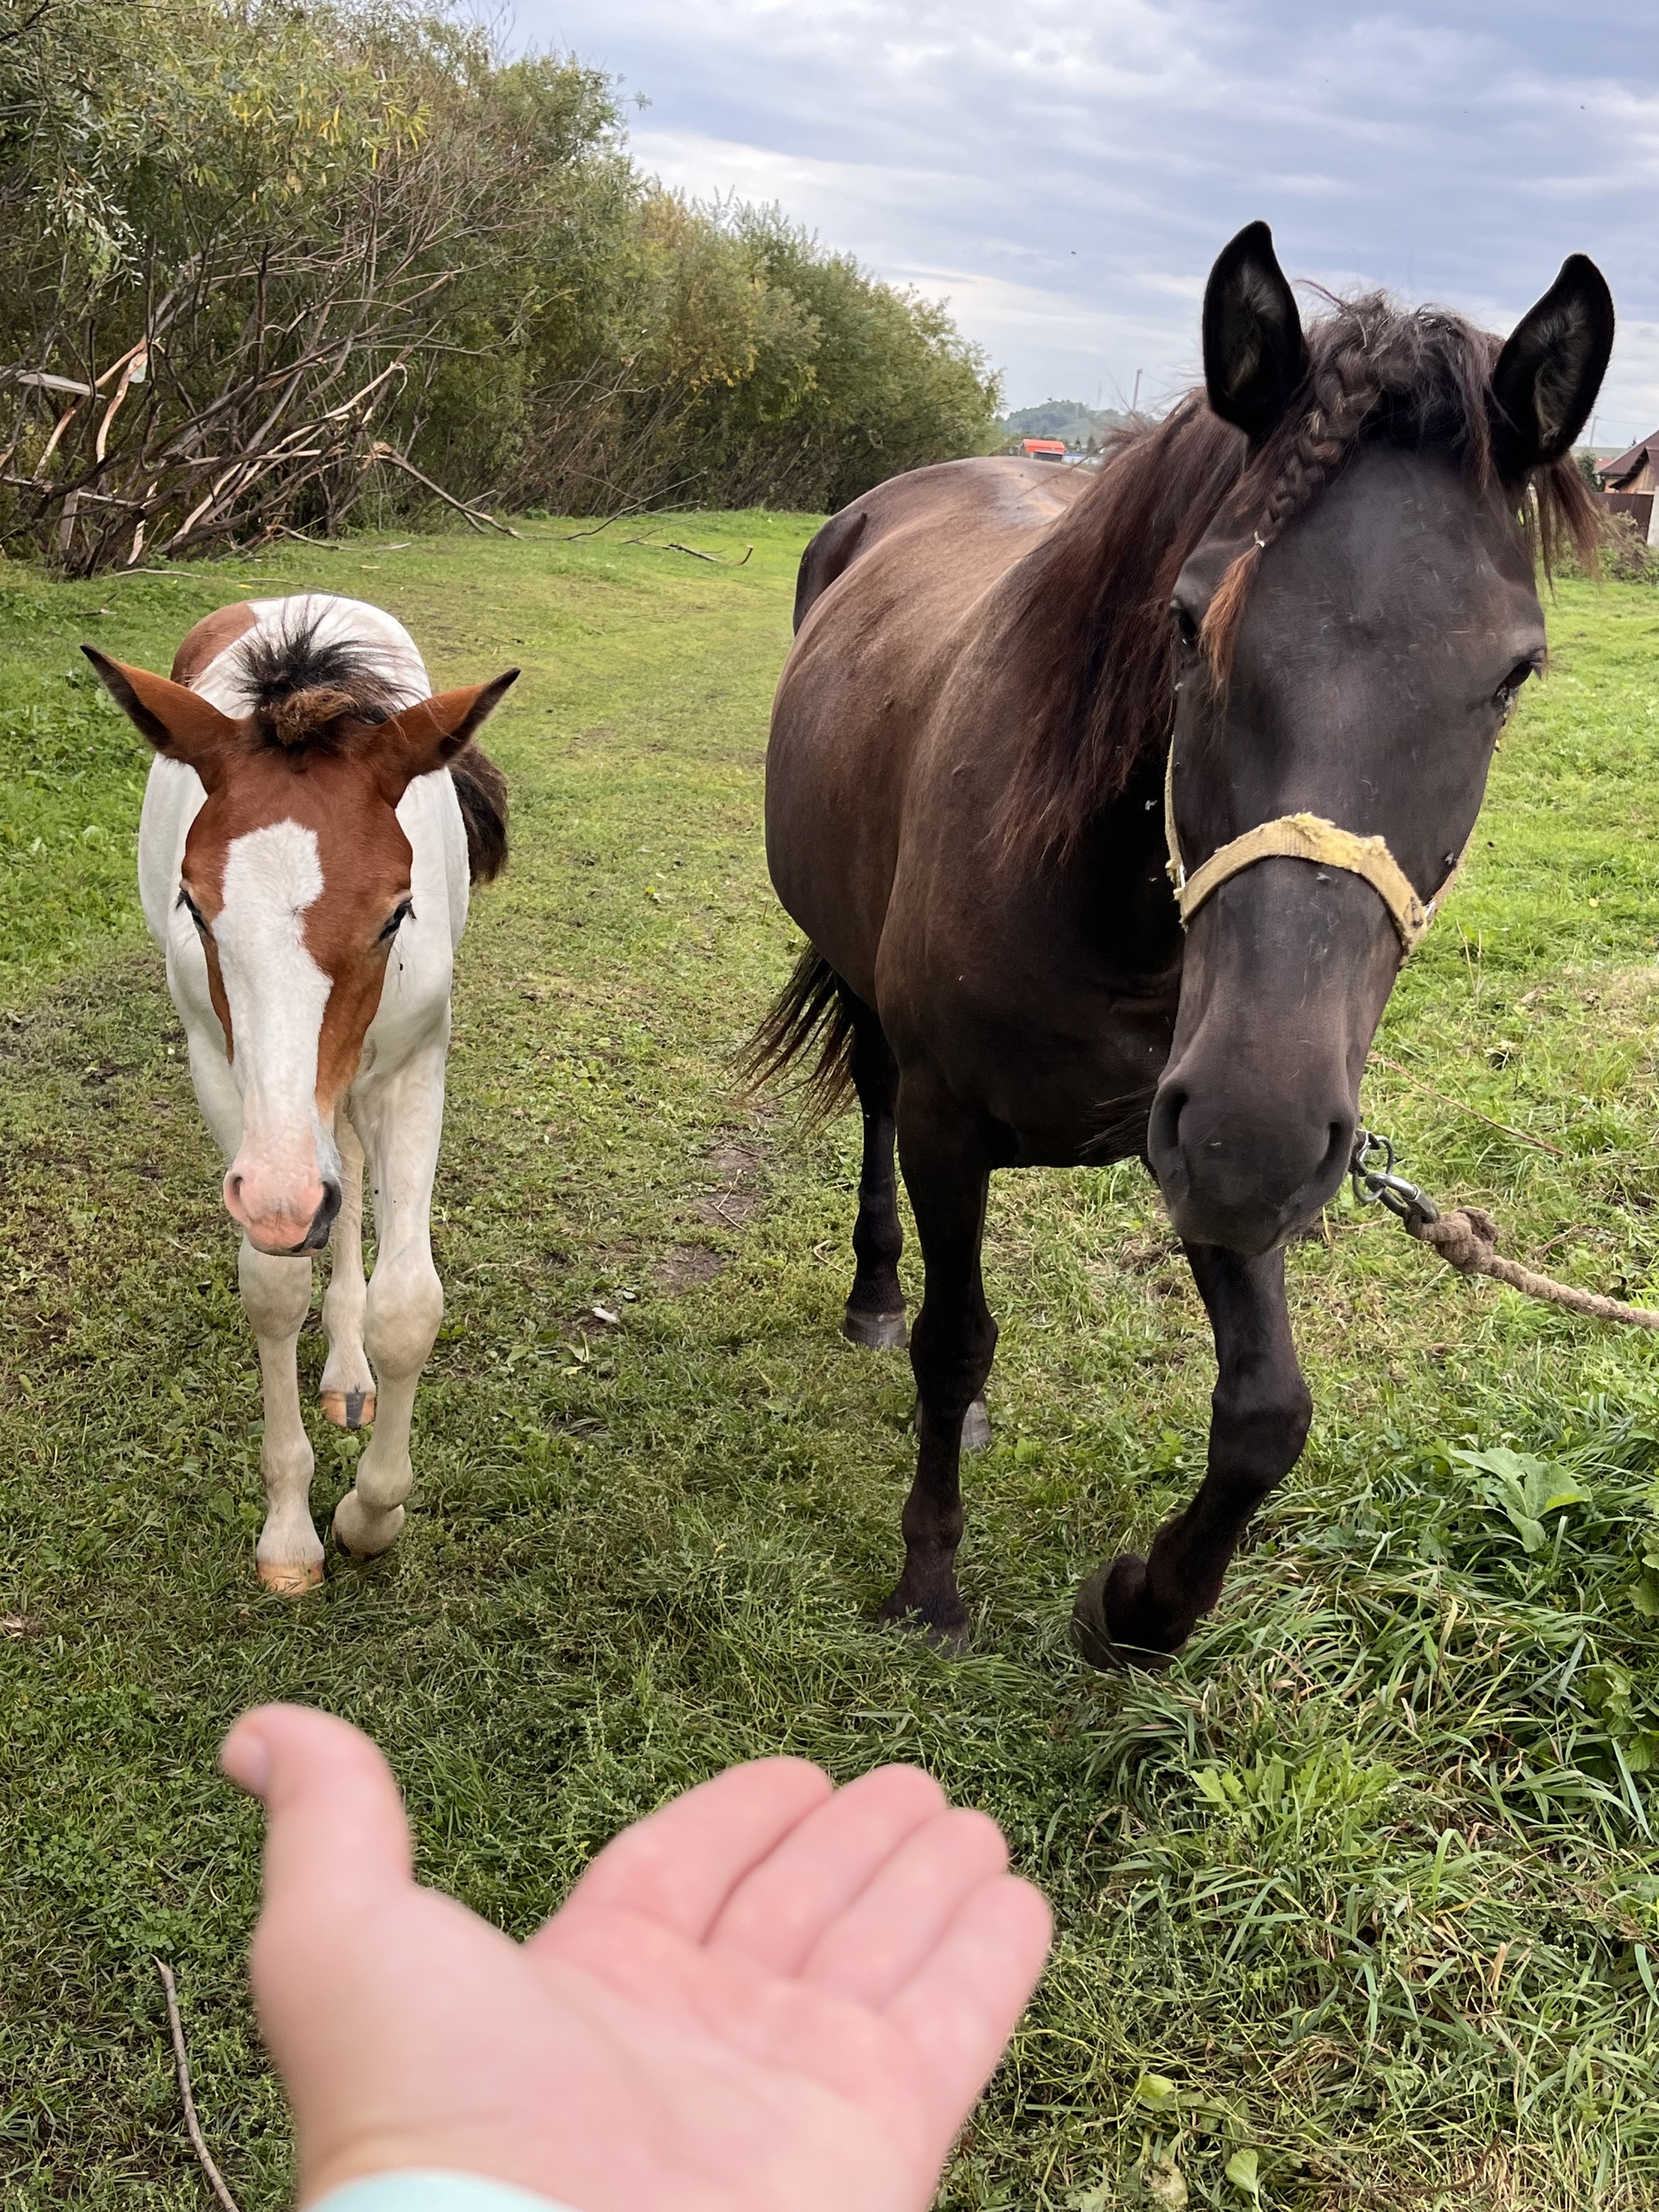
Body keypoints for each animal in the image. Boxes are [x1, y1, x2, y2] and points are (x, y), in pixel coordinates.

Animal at [83, 588, 513, 1592]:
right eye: (195, 908)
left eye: (396, 911)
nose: (282, 1196)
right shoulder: (227, 1076)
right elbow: (274, 1287)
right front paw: (290, 1532)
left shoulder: (415, 1064)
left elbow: (409, 1304)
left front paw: (370, 1514)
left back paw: (350, 1372)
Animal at [761, 233, 1618, 1663]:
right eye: (1182, 620)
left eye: (1514, 674)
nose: (1251, 1134)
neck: (1105, 915)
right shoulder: (973, 1121)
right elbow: (955, 1338)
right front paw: (928, 1582)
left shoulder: (1232, 1133)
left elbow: (1268, 1408)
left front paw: (1140, 1605)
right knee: (881, 1135)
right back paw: (874, 1294)